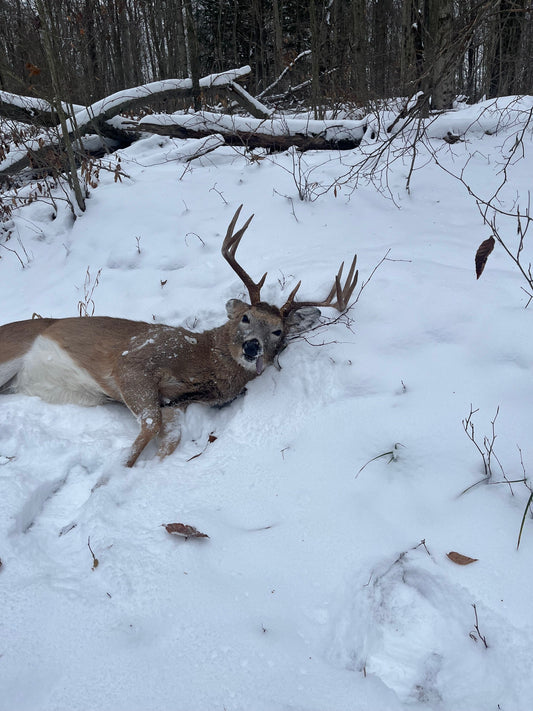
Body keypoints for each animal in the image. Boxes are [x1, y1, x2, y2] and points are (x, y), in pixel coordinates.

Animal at [0, 206, 357, 467]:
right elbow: (149, 427)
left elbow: (168, 439)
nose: (252, 347)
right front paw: (112, 477)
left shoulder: (175, 403)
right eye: (245, 317)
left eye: (278, 330)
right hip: (9, 351)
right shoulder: (133, 361)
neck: (203, 358)